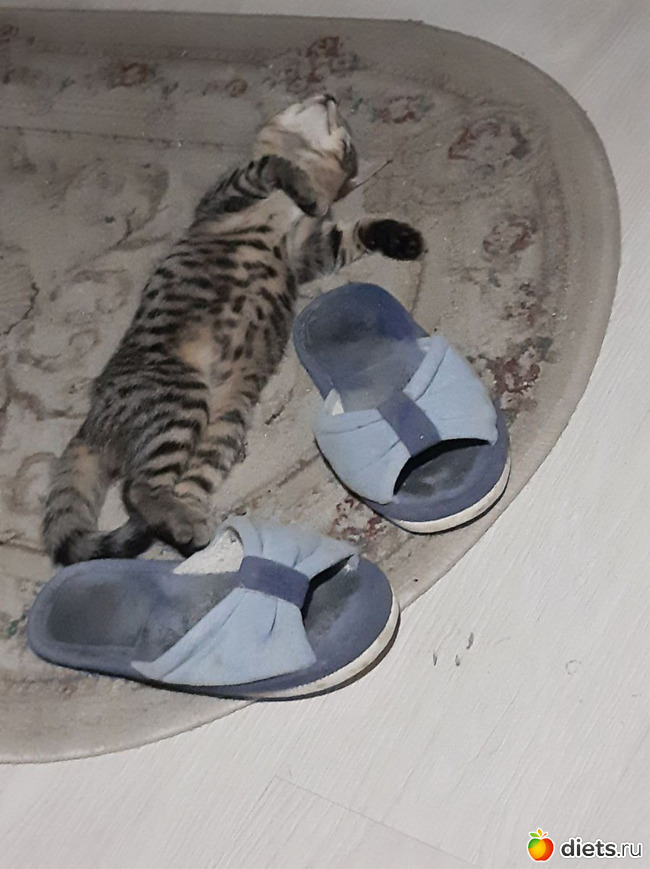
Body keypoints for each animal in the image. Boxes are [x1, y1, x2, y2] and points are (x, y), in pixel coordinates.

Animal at [43, 93, 423, 565]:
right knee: (138, 488)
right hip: (181, 396)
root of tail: (93, 421)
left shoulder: (309, 251)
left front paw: (398, 236)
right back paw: (186, 526)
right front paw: (299, 182)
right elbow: (270, 166)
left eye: (348, 141)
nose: (328, 95)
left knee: (165, 487)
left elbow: (354, 231)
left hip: (220, 423)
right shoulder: (227, 195)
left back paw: (194, 532)